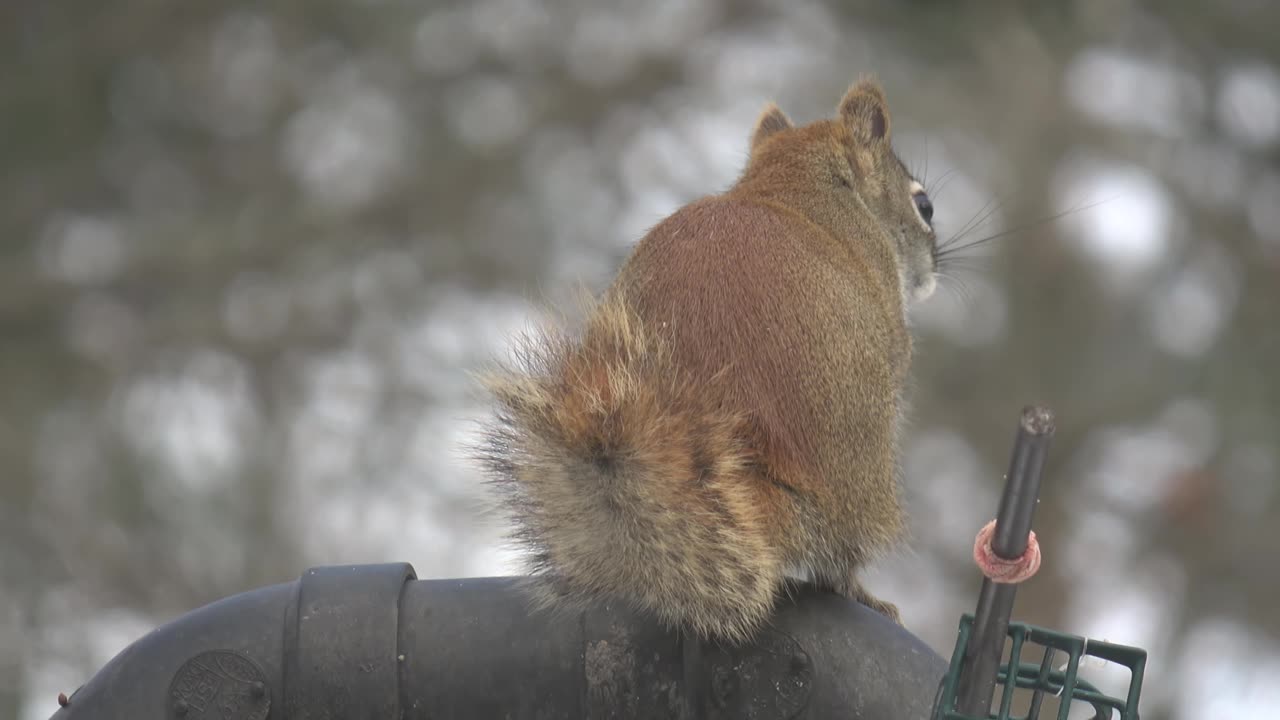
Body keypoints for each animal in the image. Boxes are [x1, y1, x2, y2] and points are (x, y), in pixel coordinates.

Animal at [476, 78, 938, 644]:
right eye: (924, 205)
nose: (933, 267)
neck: (793, 186)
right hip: (863, 477)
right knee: (839, 559)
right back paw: (863, 591)